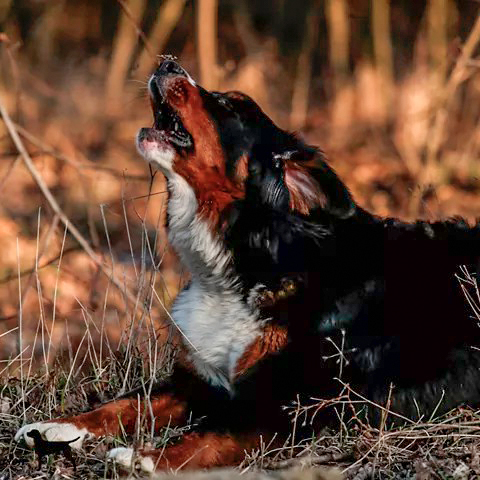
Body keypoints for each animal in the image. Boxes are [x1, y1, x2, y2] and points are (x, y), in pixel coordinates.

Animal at [15, 61, 480, 472]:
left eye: (231, 105)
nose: (167, 63)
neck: (245, 259)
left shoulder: (294, 403)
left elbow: (211, 436)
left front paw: (147, 458)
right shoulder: (202, 380)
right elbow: (128, 401)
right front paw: (59, 427)